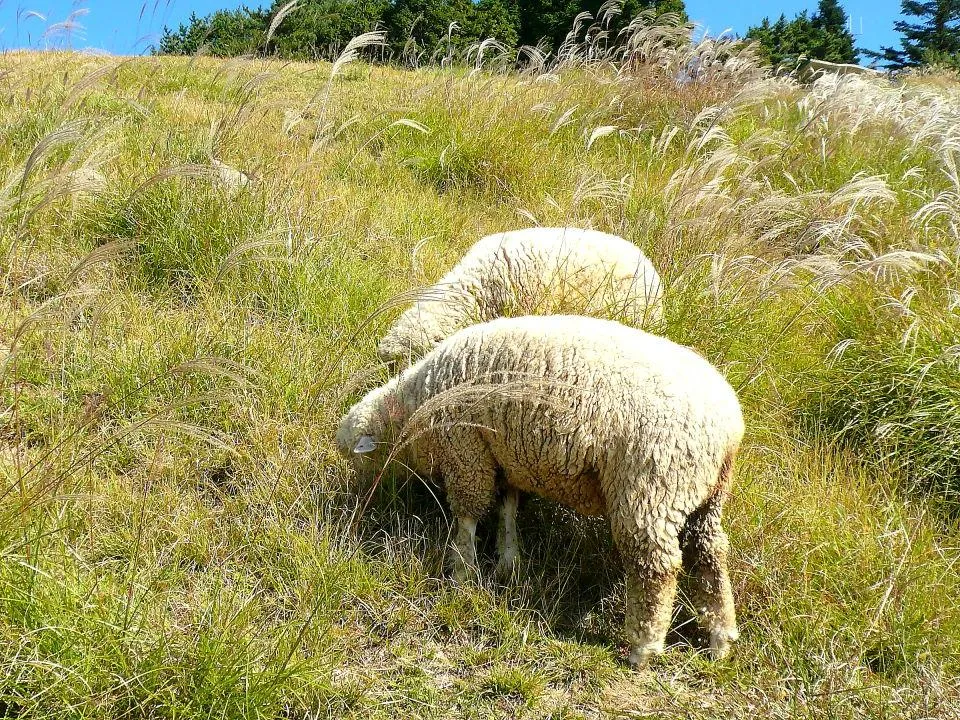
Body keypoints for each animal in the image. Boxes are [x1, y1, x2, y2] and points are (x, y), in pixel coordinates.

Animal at [338, 316, 744, 664]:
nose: (365, 497)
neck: (415, 408)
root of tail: (728, 426)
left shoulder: (466, 452)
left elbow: (468, 514)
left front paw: (461, 571)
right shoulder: (505, 459)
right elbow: (507, 508)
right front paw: (508, 562)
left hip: (651, 486)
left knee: (657, 567)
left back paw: (644, 648)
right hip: (705, 494)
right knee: (710, 553)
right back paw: (720, 638)